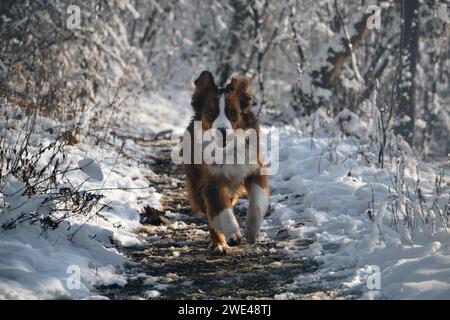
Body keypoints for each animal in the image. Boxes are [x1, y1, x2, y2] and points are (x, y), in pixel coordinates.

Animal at [181, 71, 268, 254]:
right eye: (210, 113)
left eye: (232, 112)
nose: (222, 131)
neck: (228, 150)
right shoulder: (211, 182)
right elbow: (221, 208)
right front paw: (233, 233)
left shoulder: (254, 169)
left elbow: (257, 202)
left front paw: (252, 230)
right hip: (196, 183)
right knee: (210, 214)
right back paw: (219, 243)